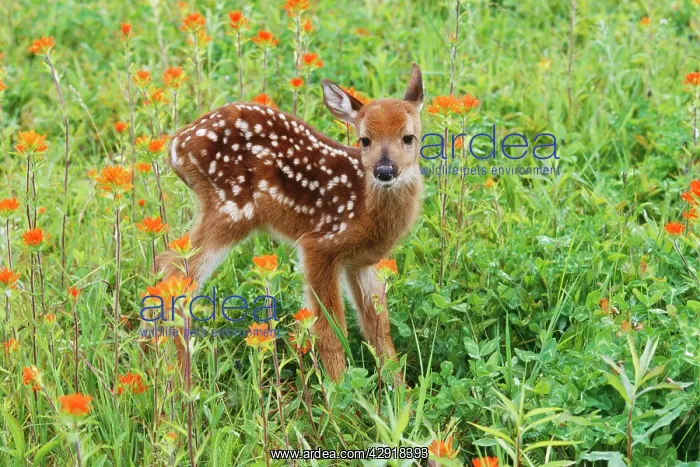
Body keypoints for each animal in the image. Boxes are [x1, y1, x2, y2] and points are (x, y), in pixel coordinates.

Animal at [156, 63, 424, 382]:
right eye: (364, 139)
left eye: (408, 137)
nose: (384, 171)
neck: (362, 206)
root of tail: (176, 146)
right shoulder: (319, 244)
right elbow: (330, 329)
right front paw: (341, 391)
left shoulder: (362, 262)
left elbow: (378, 328)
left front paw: (399, 391)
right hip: (230, 207)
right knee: (176, 272)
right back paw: (180, 381)